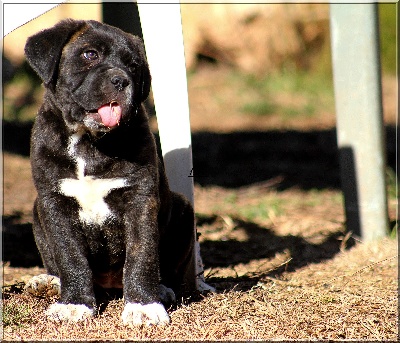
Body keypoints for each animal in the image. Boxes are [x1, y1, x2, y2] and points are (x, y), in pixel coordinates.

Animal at [23, 19, 195, 328]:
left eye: (134, 65)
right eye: (90, 55)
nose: (120, 80)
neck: (89, 141)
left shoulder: (139, 200)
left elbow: (142, 255)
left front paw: (143, 305)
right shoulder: (54, 203)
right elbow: (69, 255)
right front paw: (74, 303)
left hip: (183, 210)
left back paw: (162, 288)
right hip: (36, 210)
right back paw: (50, 282)